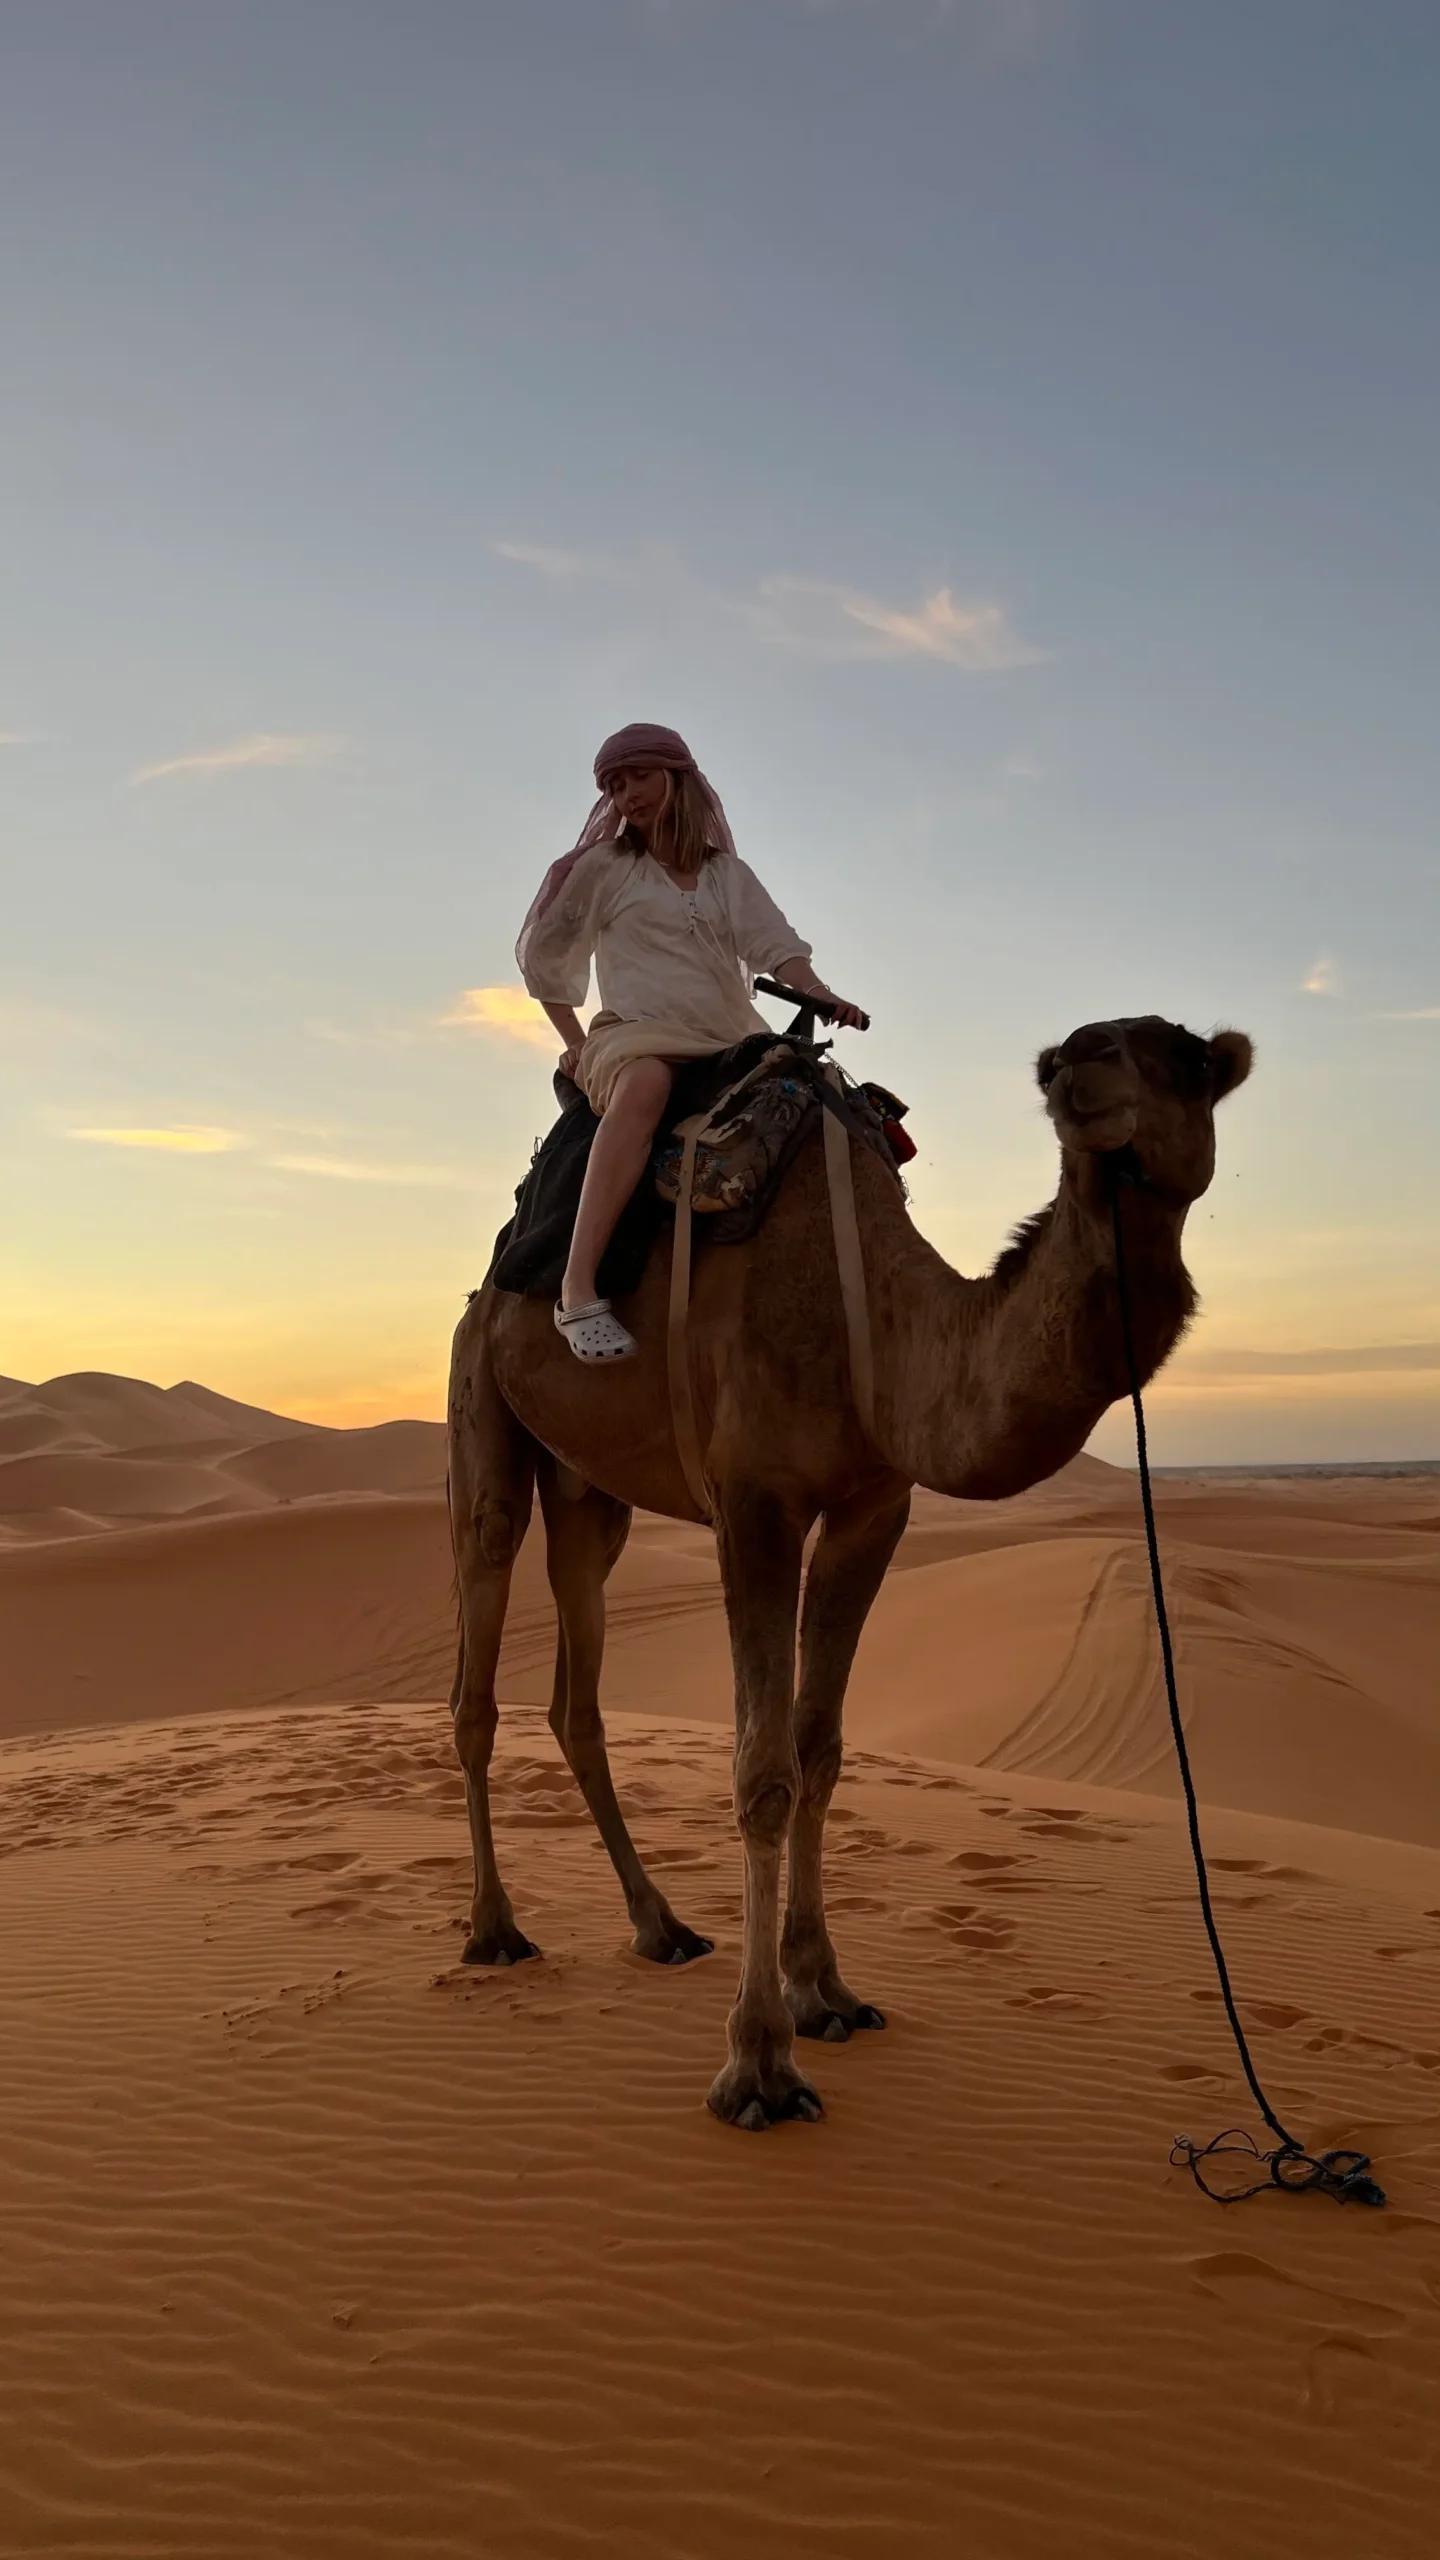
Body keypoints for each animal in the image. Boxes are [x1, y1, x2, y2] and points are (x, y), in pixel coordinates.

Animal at [446, 1014, 1252, 2129]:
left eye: (1188, 1061)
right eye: (1067, 1061)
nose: (1080, 1068)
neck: (874, 1315)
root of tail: (490, 1283)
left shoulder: (875, 1507)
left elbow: (819, 1751)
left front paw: (824, 1990)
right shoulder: (754, 1502)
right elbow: (761, 1770)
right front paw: (758, 2066)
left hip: (590, 1490)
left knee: (576, 1690)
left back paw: (661, 1926)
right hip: (481, 1401)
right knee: (478, 1670)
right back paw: (494, 1929)